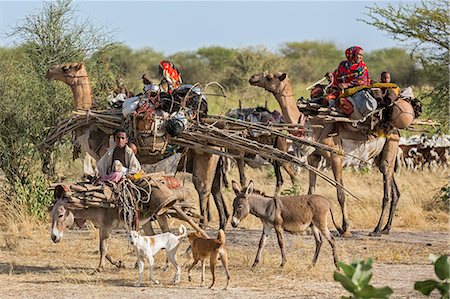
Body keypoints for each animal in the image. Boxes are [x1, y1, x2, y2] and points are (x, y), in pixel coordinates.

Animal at [46, 62, 229, 230]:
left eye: (66, 68)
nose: (49, 72)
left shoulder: (106, 154)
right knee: (215, 190)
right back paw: (220, 224)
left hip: (205, 157)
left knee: (202, 188)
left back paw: (203, 224)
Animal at [248, 71, 414, 238]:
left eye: (269, 77)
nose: (252, 78)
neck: (312, 126)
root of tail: (396, 130)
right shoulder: (314, 157)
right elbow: (311, 190)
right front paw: (311, 227)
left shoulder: (336, 157)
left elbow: (341, 194)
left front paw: (345, 229)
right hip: (382, 155)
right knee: (395, 189)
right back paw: (387, 228)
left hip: (390, 146)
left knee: (387, 192)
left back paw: (377, 230)